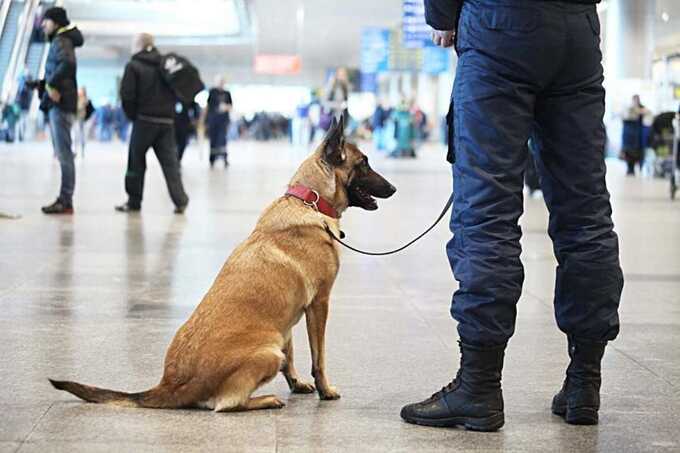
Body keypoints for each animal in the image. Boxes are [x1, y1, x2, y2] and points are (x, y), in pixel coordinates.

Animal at [50, 115, 396, 410]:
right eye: (364, 163)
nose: (393, 188)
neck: (309, 201)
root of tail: (170, 385)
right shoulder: (319, 304)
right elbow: (318, 357)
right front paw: (325, 389)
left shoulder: (287, 321)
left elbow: (292, 355)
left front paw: (297, 383)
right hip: (267, 350)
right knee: (226, 404)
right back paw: (265, 400)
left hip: (272, 340)